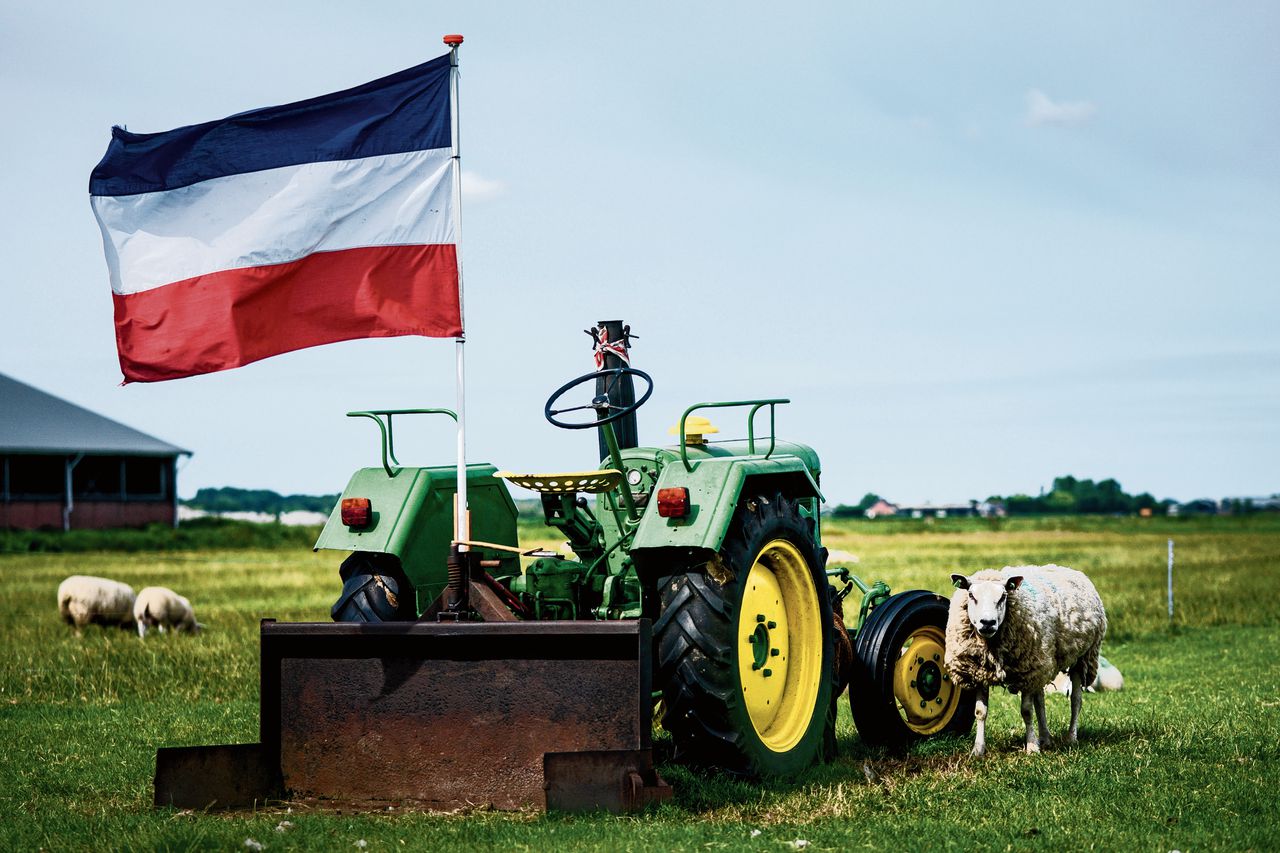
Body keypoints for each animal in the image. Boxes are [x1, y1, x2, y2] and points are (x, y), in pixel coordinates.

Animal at [942, 563, 1111, 753]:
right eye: (971, 595)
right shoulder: (979, 672)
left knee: (1076, 700)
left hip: (1081, 658)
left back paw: (1071, 737)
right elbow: (980, 712)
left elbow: (1027, 711)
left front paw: (1031, 747)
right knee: (1041, 701)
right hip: (1043, 663)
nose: (987, 623)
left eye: (1003, 596)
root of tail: (1070, 569)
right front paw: (978, 750)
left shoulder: (1028, 670)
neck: (991, 648)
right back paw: (1045, 738)